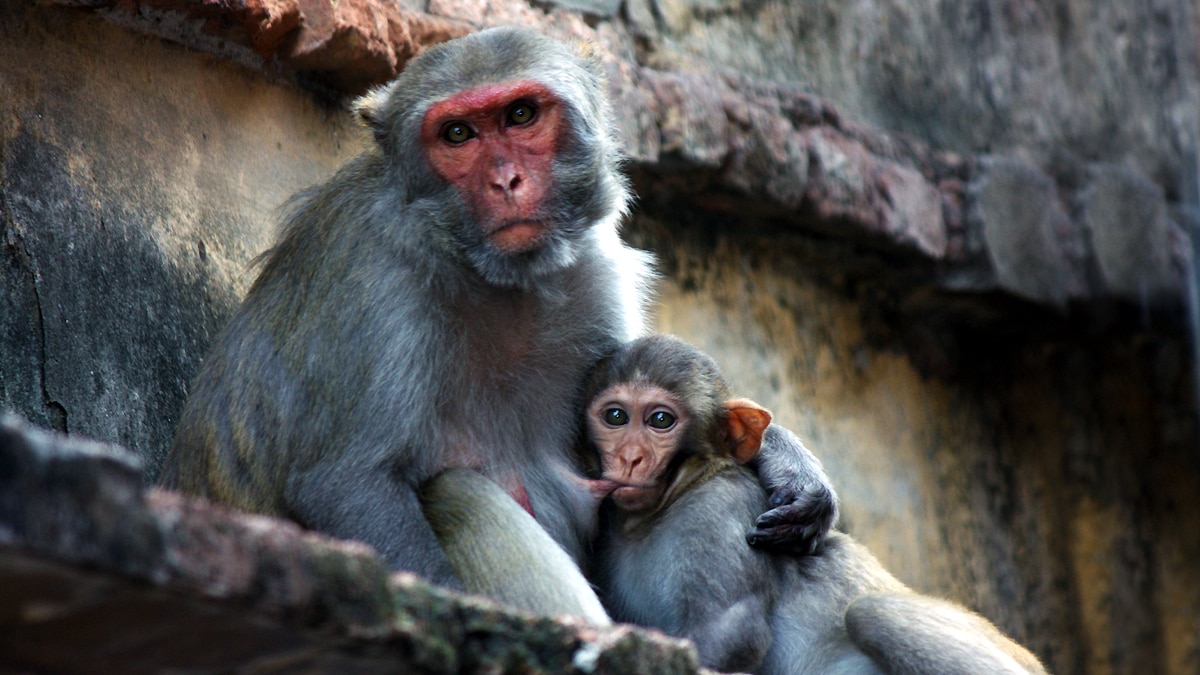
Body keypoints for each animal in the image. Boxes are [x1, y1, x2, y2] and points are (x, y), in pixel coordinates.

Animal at [159, 27, 837, 618]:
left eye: (520, 115)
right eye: (458, 133)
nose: (505, 180)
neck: (492, 277)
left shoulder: (593, 270)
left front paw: (786, 462)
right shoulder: (371, 276)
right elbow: (348, 481)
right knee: (457, 493)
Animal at [584, 335, 1049, 674]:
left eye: (661, 420)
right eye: (616, 417)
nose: (630, 458)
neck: (664, 504)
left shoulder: (718, 509)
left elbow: (729, 635)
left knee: (874, 613)